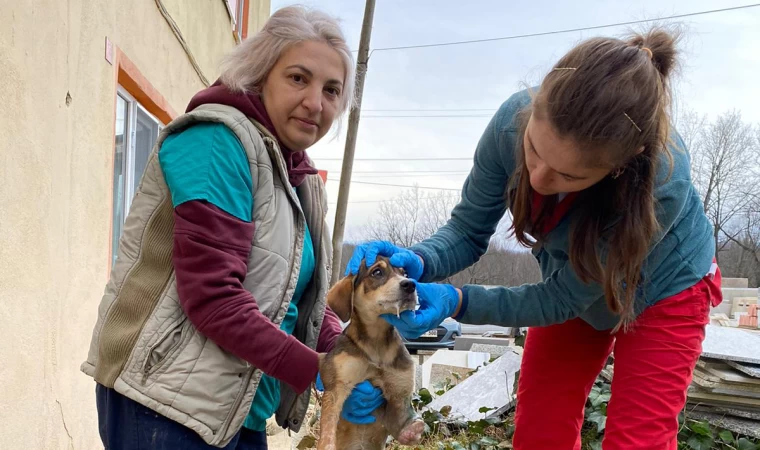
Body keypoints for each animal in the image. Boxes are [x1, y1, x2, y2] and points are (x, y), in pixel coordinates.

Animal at [316, 256, 428, 450]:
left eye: (405, 273)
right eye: (377, 272)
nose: (411, 285)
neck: (376, 343)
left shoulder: (397, 396)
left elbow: (401, 422)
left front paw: (411, 431)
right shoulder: (337, 386)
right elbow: (328, 425)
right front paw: (326, 445)